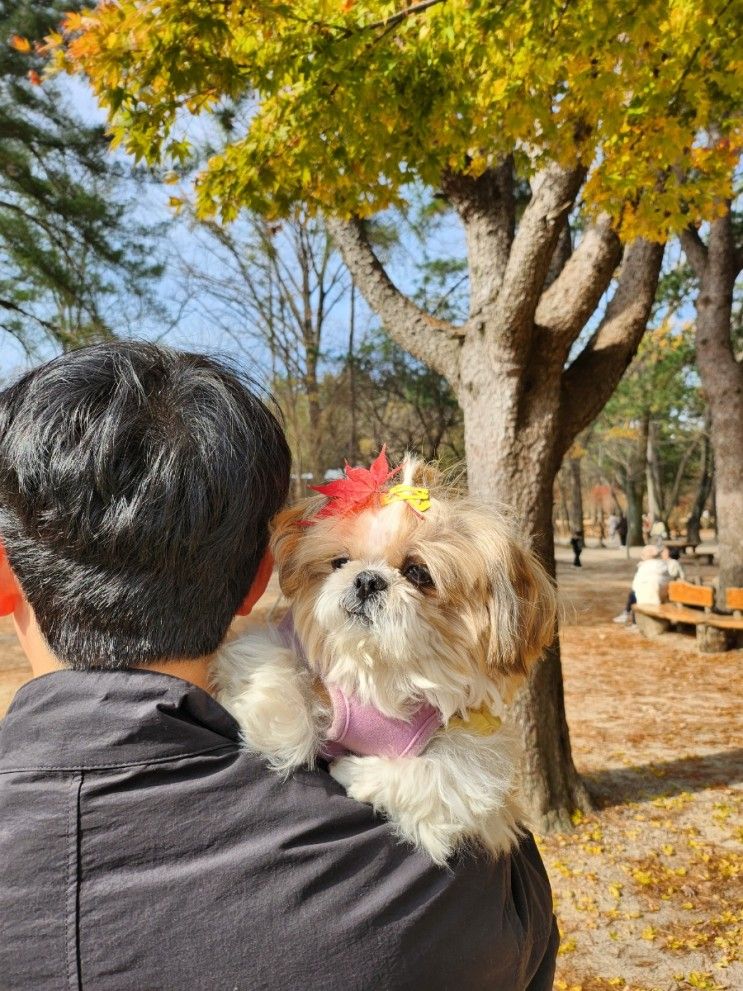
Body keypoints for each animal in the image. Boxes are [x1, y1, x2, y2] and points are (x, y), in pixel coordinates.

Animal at [212, 450, 556, 860]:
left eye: (419, 572)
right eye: (340, 562)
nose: (367, 579)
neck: (381, 669)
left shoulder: (476, 746)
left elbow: (448, 776)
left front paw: (354, 772)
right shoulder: (273, 643)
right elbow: (278, 672)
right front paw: (273, 728)